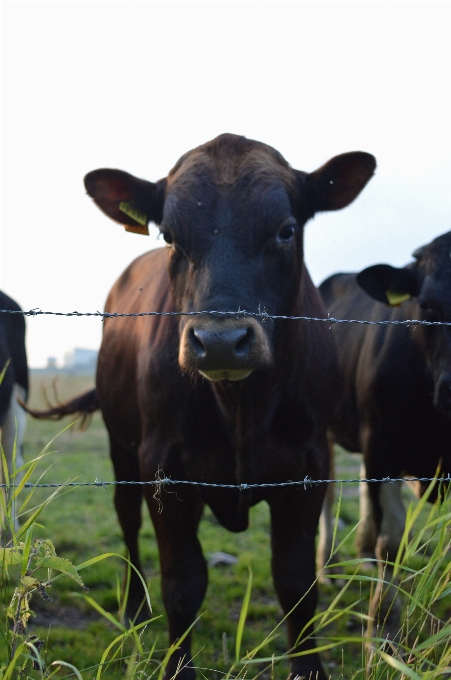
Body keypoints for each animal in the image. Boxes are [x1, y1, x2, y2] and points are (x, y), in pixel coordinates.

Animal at [26, 135, 376, 676]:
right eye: (170, 234)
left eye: (286, 229)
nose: (220, 342)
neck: (242, 407)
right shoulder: (164, 467)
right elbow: (183, 585)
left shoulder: (308, 466)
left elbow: (297, 584)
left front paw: (309, 667)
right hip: (121, 445)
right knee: (126, 517)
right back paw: (134, 606)